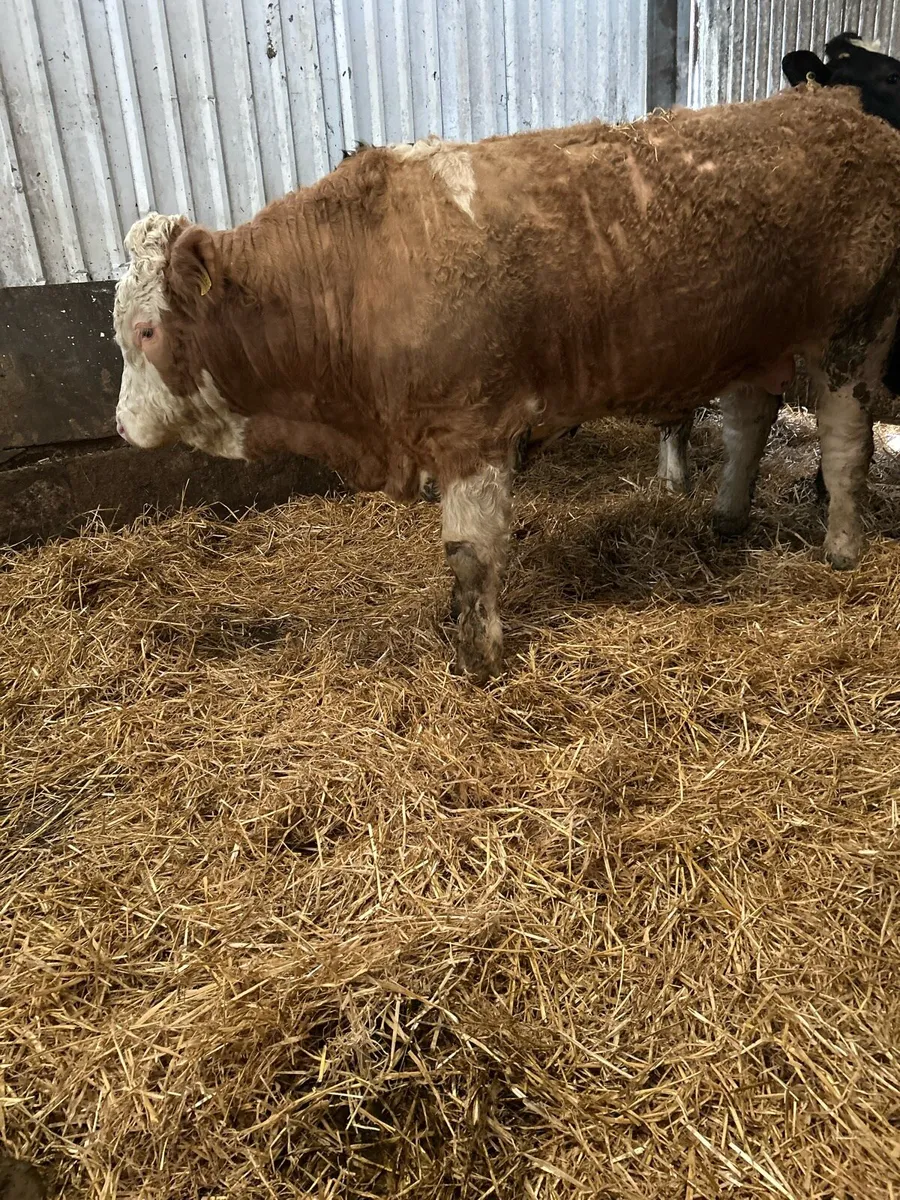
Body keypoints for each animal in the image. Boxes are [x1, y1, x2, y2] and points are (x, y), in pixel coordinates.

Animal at [114, 84, 900, 681]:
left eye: (148, 332)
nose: (121, 424)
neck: (357, 273)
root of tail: (844, 109)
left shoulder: (475, 430)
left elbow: (472, 551)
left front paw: (479, 656)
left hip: (851, 337)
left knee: (844, 447)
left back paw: (842, 548)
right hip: (751, 337)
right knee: (749, 419)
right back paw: (729, 516)